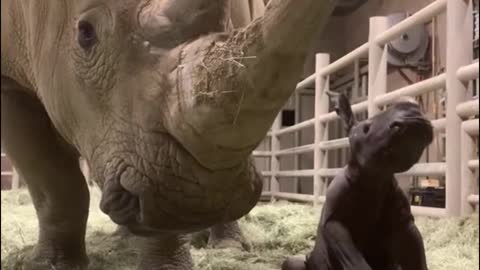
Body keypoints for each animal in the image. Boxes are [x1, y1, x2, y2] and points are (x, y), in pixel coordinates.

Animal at [0, 0, 338, 270]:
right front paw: (51, 265)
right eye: (85, 32)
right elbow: (55, 183)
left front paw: (166, 264)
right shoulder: (8, 79)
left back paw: (227, 247)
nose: (196, 203)